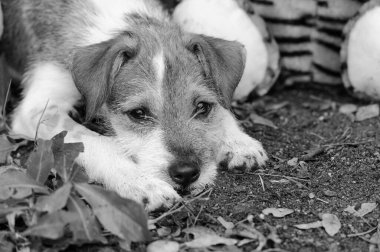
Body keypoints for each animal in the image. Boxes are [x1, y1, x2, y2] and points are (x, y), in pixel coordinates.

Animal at [0, 0, 268, 210]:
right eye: (138, 113)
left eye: (202, 107)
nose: (186, 174)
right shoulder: (39, 108)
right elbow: (98, 142)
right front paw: (141, 183)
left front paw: (237, 141)